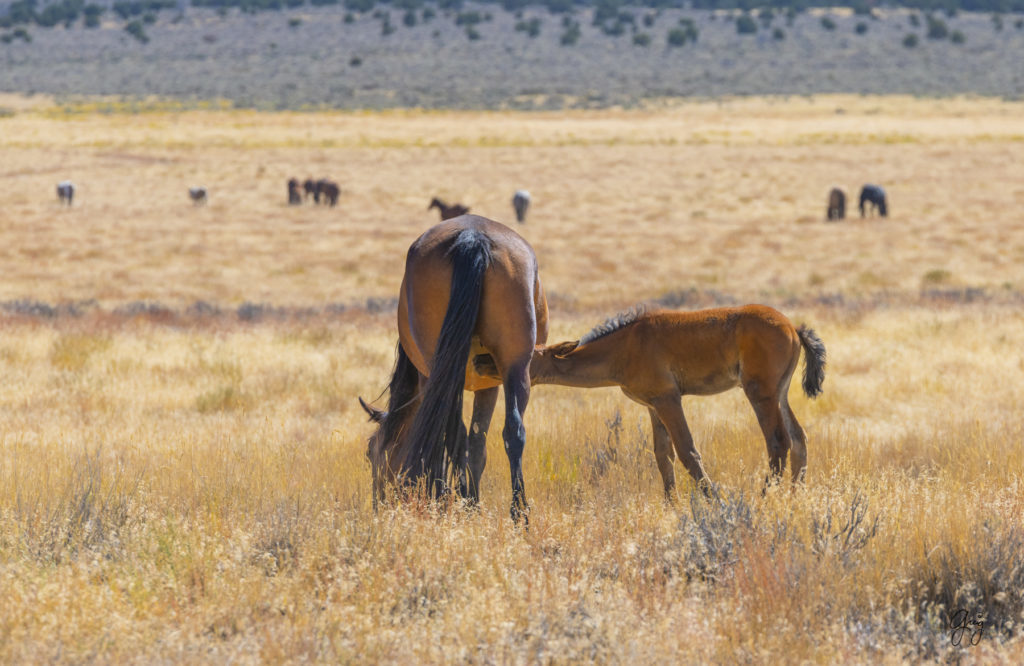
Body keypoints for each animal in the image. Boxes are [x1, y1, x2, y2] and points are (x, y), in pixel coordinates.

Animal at [362, 215, 548, 520]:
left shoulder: (429, 379)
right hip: (516, 365)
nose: (378, 505)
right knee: (513, 431)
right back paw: (517, 513)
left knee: (455, 435)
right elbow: (478, 444)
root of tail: (473, 237)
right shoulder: (491, 384)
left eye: (371, 452)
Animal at [475, 303, 827, 495]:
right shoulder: (654, 406)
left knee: (779, 442)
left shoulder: (669, 399)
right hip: (780, 393)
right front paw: (671, 504)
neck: (625, 345)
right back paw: (794, 496)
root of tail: (794, 327)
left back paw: (766, 497)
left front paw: (715, 501)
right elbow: (663, 456)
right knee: (799, 439)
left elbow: (688, 452)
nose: (480, 362)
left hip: (760, 393)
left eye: (529, 356)